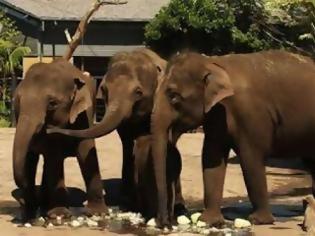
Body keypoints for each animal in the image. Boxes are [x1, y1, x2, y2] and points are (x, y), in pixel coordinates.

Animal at [13, 58, 107, 221]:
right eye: (17, 101)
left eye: (52, 103)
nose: (47, 128)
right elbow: (53, 156)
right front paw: (60, 215)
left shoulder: (84, 116)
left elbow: (86, 150)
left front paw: (98, 213)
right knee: (33, 160)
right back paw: (34, 208)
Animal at [47, 48, 186, 214]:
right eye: (104, 89)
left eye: (138, 92)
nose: (49, 129)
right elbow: (126, 141)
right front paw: (127, 201)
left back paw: (179, 206)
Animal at [151, 50, 315, 227]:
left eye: (174, 96)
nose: (165, 223)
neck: (213, 63)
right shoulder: (216, 114)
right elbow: (212, 157)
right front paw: (208, 221)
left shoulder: (250, 113)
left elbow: (251, 158)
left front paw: (259, 221)